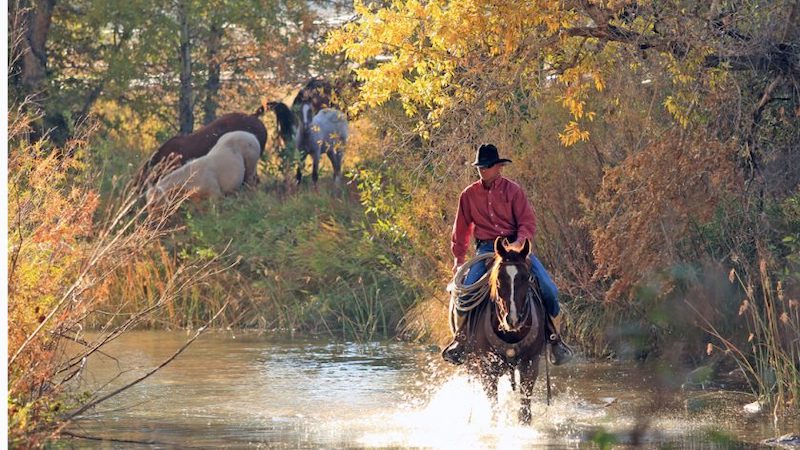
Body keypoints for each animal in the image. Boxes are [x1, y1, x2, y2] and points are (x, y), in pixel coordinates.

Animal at [446, 237, 548, 424]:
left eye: (526, 277)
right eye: (499, 278)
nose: (513, 319)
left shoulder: (530, 363)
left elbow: (525, 411)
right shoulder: (487, 368)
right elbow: (494, 408)